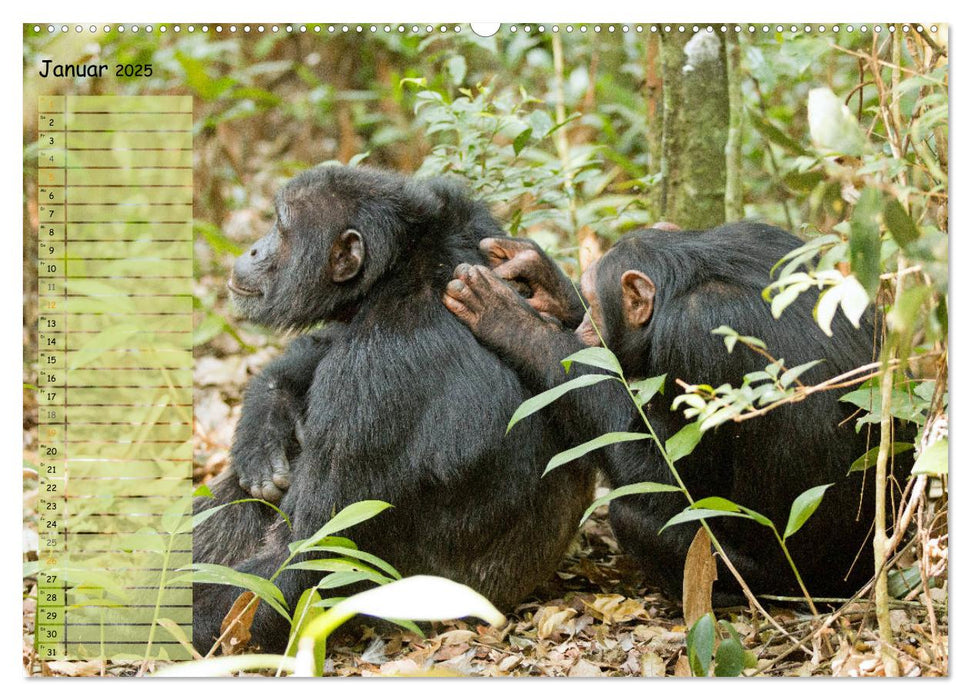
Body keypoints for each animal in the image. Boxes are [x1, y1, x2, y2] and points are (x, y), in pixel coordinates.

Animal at [193, 167, 596, 652]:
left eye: (280, 226)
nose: (253, 247)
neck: (397, 271)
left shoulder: (369, 378)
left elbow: (307, 557)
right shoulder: (474, 222)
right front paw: (262, 424)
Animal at [442, 223, 912, 600]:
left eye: (594, 305)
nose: (584, 326)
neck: (690, 274)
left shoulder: (695, 340)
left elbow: (665, 474)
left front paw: (512, 322)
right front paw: (540, 276)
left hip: (778, 580)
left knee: (633, 515)